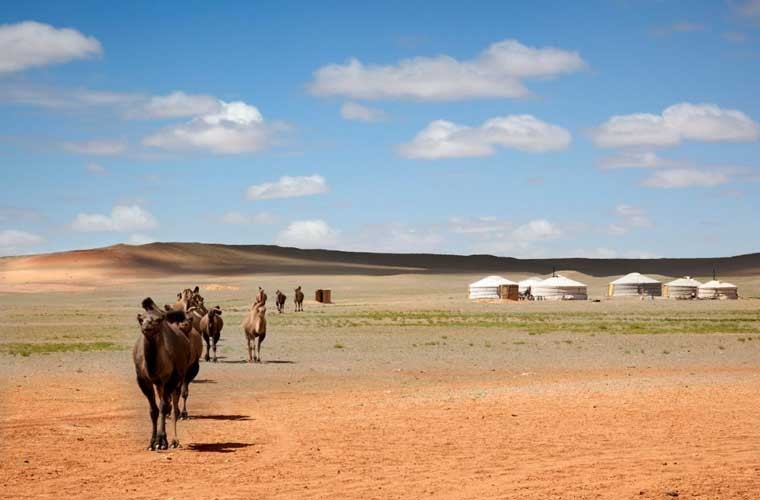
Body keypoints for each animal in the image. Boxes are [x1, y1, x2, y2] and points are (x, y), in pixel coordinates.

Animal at [132, 294, 190, 452]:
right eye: (141, 319)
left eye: (158, 320)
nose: (147, 327)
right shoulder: (143, 380)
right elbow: (154, 410)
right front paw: (152, 442)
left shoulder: (170, 379)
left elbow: (164, 407)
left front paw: (161, 441)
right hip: (159, 384)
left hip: (178, 379)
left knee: (174, 407)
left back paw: (175, 441)